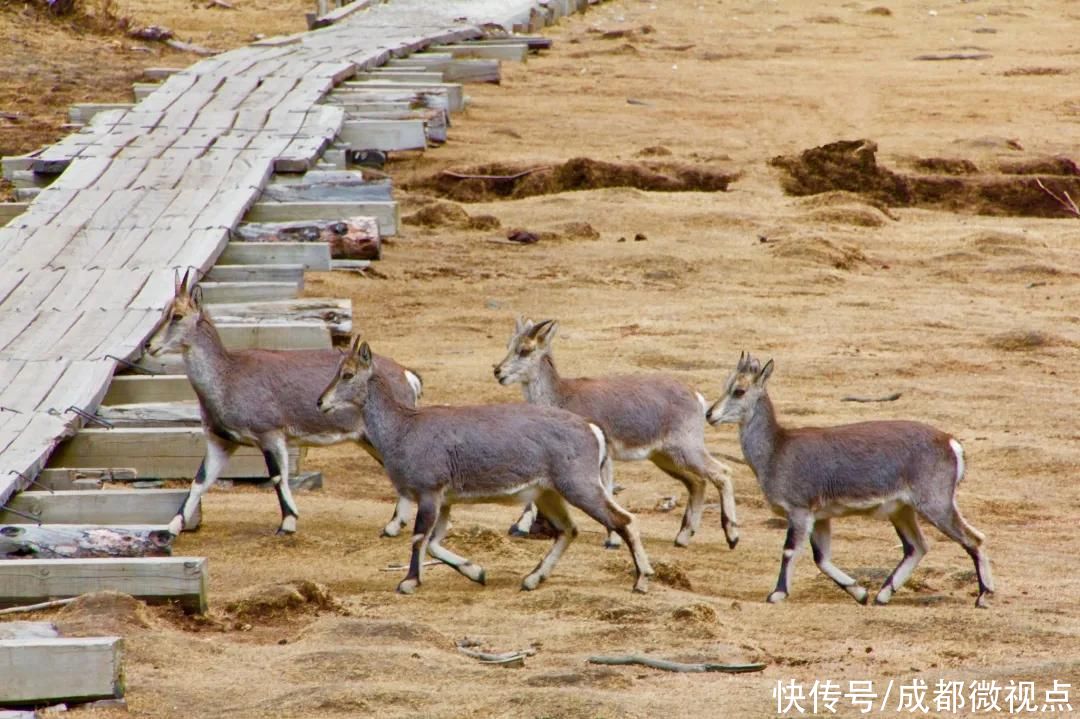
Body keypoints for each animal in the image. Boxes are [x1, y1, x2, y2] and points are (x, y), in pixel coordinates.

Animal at [146, 272, 421, 535]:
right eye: (163, 312)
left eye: (177, 315)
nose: (149, 345)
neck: (226, 377)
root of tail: (407, 376)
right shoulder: (221, 441)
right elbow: (200, 481)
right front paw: (171, 528)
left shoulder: (270, 433)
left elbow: (278, 477)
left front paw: (288, 523)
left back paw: (394, 525)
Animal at [313, 338, 648, 591]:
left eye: (347, 374)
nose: (320, 402)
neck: (403, 428)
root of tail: (593, 430)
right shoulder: (445, 500)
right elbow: (433, 542)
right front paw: (477, 572)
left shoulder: (429, 491)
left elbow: (419, 538)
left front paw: (408, 582)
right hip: (547, 492)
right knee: (569, 530)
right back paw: (532, 578)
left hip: (578, 485)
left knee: (622, 520)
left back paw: (642, 580)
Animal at [494, 317, 738, 546]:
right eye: (509, 344)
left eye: (525, 349)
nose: (498, 371)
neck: (562, 397)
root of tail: (696, 397)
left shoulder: (603, 457)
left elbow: (608, 490)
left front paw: (612, 540)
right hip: (665, 458)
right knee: (697, 483)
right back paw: (682, 538)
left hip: (687, 449)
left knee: (722, 472)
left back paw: (732, 537)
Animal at [708, 351, 993, 604]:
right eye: (726, 385)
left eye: (739, 390)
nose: (710, 414)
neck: (776, 451)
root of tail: (951, 444)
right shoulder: (820, 516)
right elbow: (821, 558)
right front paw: (860, 593)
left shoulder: (799, 509)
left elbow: (790, 549)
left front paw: (776, 594)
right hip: (902, 509)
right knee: (918, 546)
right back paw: (882, 594)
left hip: (935, 502)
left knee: (973, 538)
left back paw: (983, 596)